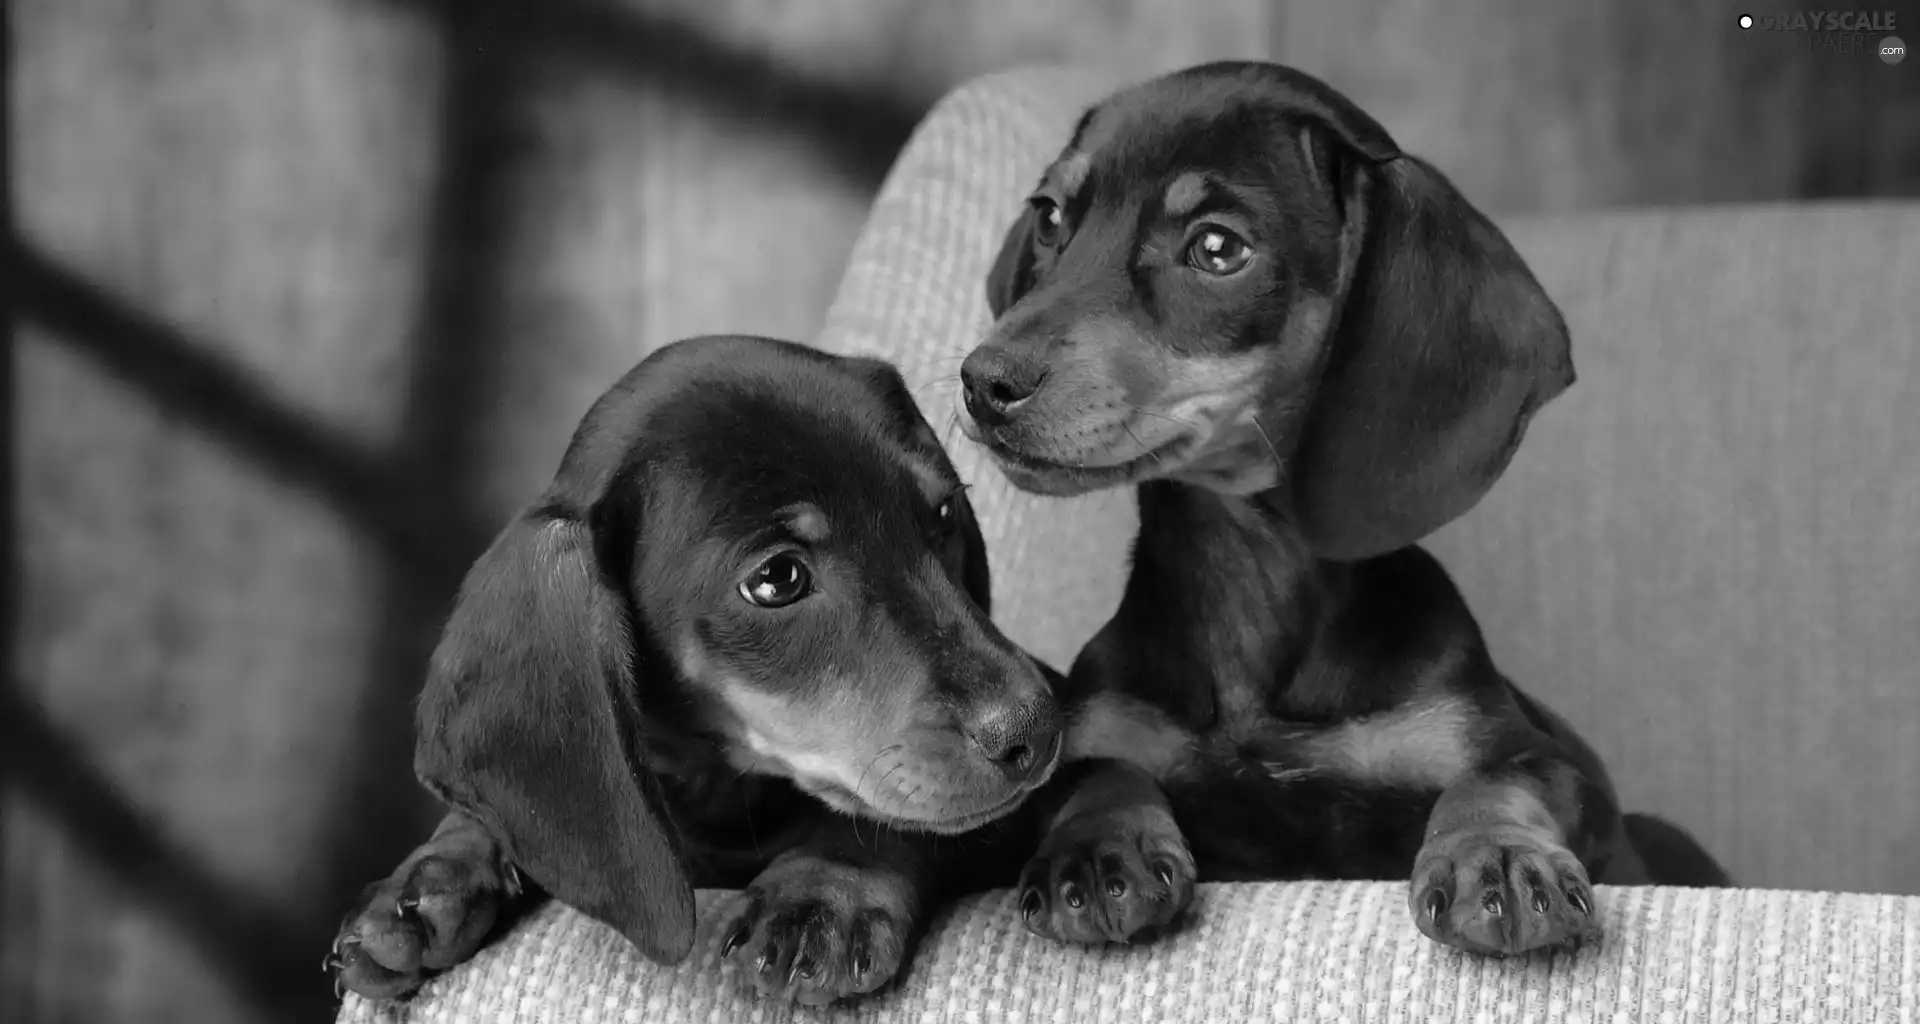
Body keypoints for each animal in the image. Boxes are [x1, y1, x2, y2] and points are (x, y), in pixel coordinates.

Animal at [330, 338, 1067, 1006]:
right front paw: (430, 877)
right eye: (777, 579)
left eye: (942, 512)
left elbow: (893, 818)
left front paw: (829, 887)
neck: (719, 795)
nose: (1038, 728)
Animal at [960, 61, 1728, 956]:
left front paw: (1497, 858)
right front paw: (1098, 846)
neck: (1254, 582)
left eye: (1218, 248)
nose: (984, 381)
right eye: (1050, 216)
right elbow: (1097, 772)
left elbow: (1496, 779)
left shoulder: (1549, 766)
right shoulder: (1106, 732)